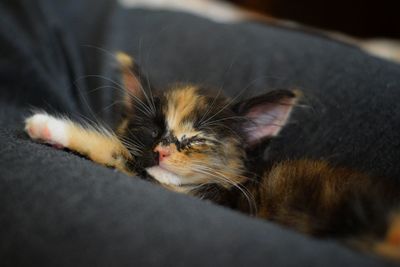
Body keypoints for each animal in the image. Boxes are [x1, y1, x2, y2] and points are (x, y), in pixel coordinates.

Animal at [25, 52, 400, 262]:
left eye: (196, 139)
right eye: (152, 131)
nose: (160, 151)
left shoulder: (210, 199)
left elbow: (117, 153)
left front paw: (48, 126)